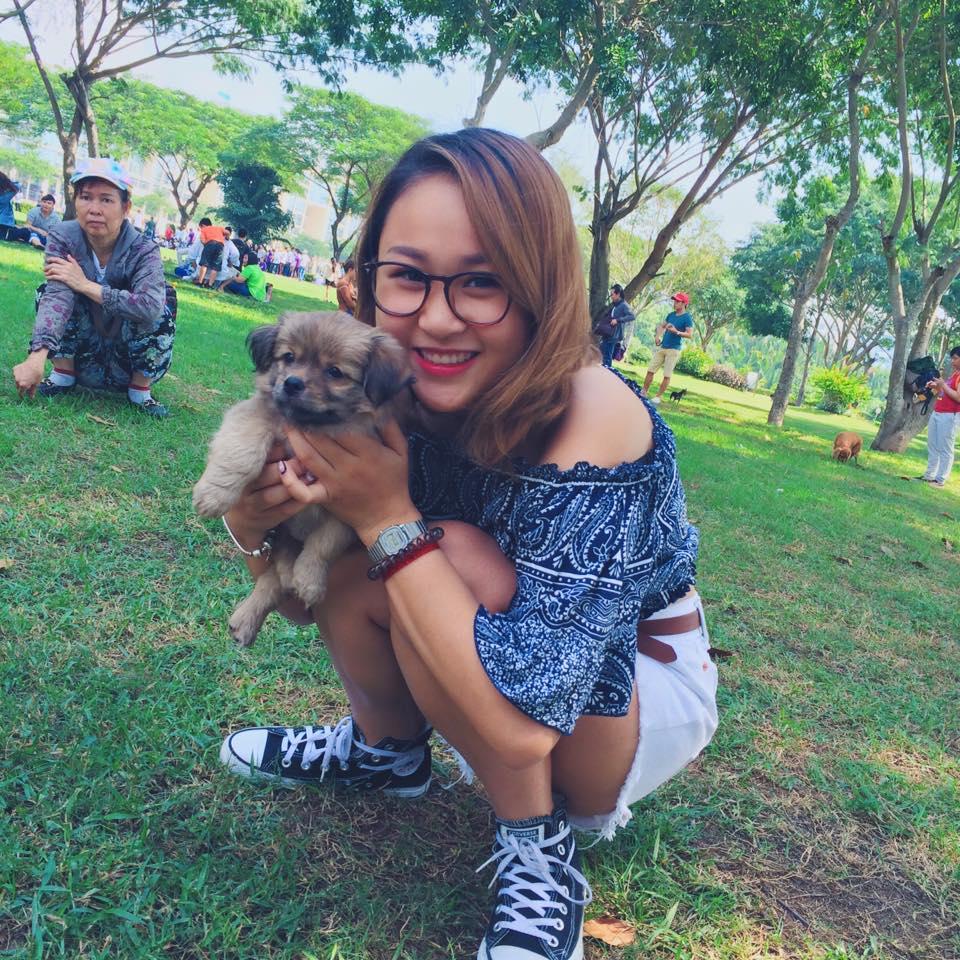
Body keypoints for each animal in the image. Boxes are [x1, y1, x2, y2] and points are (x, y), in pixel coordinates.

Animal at [193, 311, 412, 647]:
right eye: (288, 357)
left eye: (335, 372)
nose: (292, 383)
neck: (313, 426)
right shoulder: (254, 416)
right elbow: (241, 452)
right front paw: (214, 495)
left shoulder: (346, 507)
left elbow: (324, 543)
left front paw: (310, 579)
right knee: (274, 577)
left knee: (274, 578)